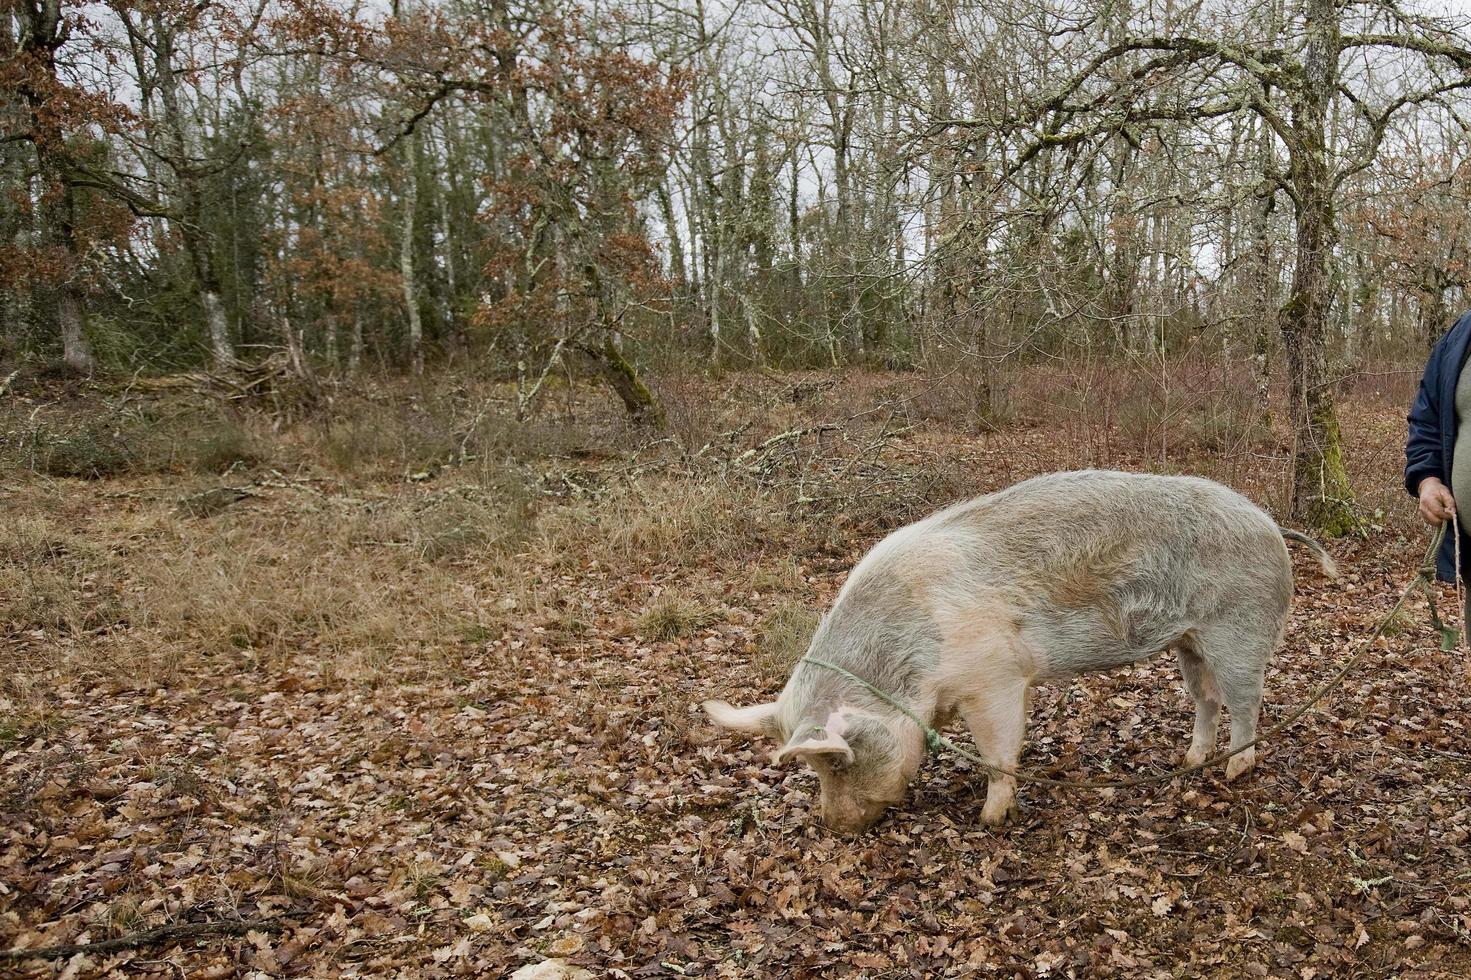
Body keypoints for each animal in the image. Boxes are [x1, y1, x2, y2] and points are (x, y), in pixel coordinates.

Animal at [706, 470, 1341, 829]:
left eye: (837, 760)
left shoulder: (997, 680)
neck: (907, 671)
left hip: (1241, 629)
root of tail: (1272, 524)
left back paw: (1234, 771)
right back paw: (1188, 763)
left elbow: (998, 751)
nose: (835, 828)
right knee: (1206, 700)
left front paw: (990, 820)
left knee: (1247, 702)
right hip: (1189, 641)